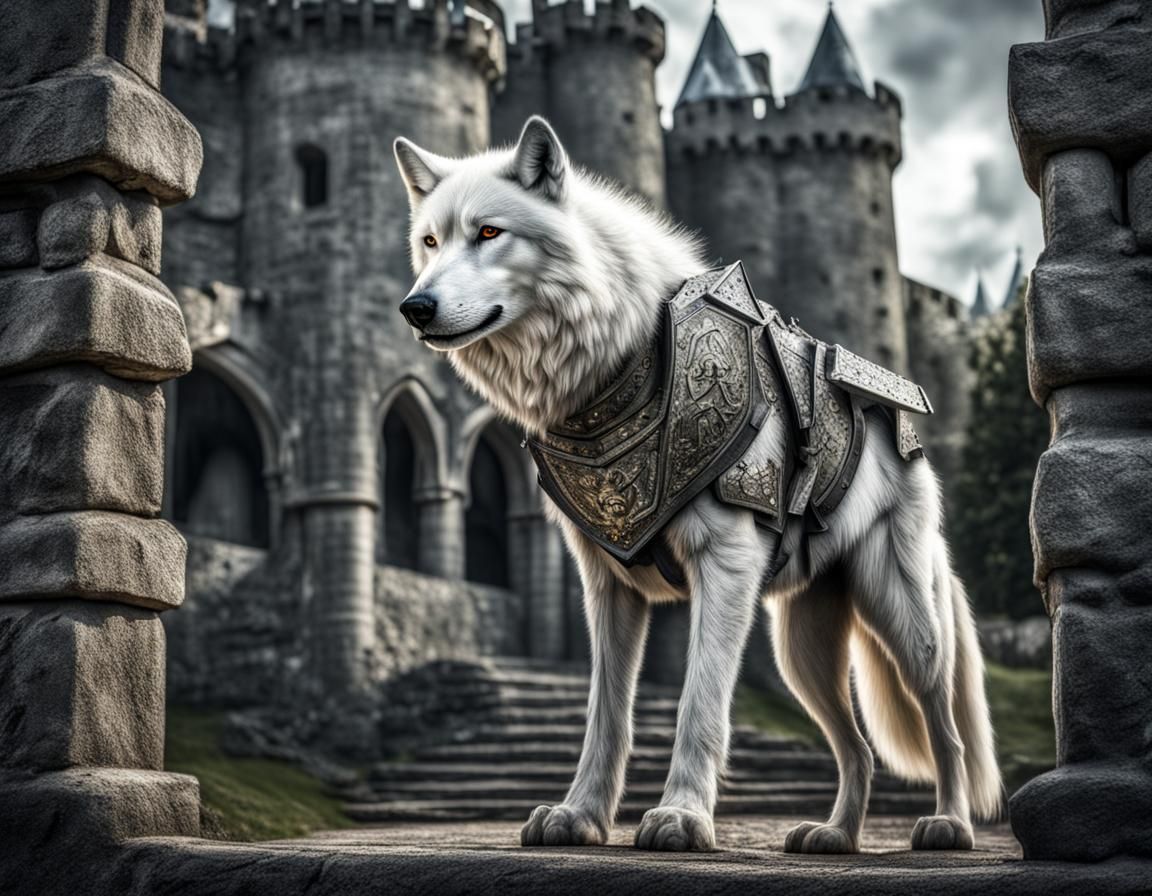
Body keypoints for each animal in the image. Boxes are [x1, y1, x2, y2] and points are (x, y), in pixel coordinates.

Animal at [392, 116, 1002, 854]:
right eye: (430, 241)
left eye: (488, 233)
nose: (415, 307)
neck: (624, 363)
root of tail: (903, 432)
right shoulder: (607, 587)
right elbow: (606, 715)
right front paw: (581, 816)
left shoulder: (726, 567)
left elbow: (698, 704)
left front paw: (682, 816)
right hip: (799, 653)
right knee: (857, 747)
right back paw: (835, 835)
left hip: (904, 621)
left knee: (947, 729)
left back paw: (950, 824)